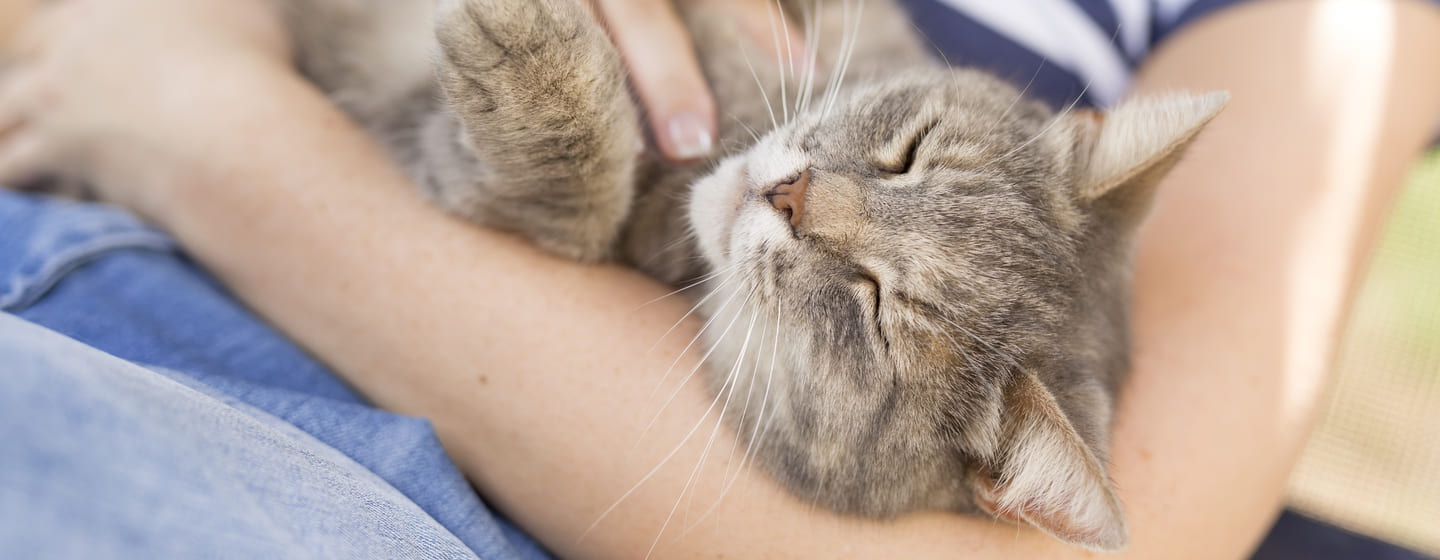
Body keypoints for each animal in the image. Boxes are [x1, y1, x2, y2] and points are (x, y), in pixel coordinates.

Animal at [283, 0, 1226, 549]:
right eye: (910, 152)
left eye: (876, 309)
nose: (788, 192)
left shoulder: (479, 182)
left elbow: (564, 195)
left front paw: (534, 61)